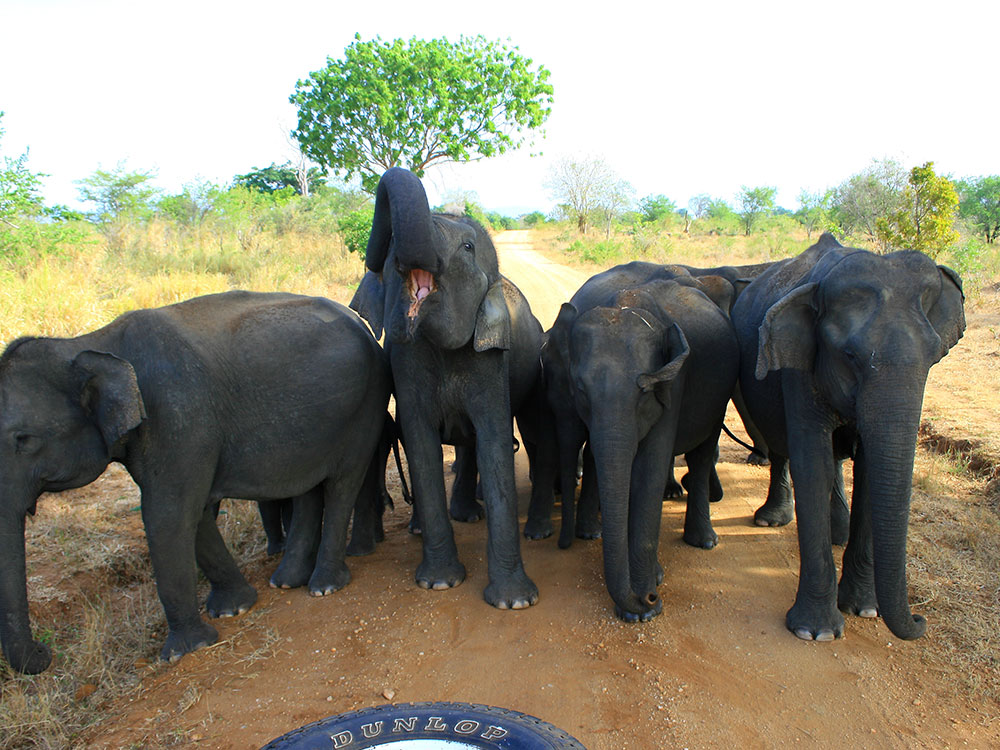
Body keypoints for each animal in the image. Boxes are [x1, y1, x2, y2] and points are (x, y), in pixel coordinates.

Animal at [0, 291, 391, 673]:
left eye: (24, 440)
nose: (45, 654)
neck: (89, 342)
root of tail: (362, 325)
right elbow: (193, 513)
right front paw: (233, 610)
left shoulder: (178, 417)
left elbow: (167, 515)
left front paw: (185, 650)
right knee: (309, 487)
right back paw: (286, 581)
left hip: (364, 406)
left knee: (342, 483)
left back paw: (323, 587)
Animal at [349, 167, 540, 610]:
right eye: (388, 250)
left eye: (467, 247)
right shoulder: (406, 361)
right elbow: (419, 444)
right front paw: (438, 584)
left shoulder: (491, 359)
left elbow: (494, 442)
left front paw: (514, 604)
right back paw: (430, 525)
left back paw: (469, 515)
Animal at [556, 277, 740, 621]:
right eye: (581, 390)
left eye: (644, 393)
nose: (651, 598)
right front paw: (644, 598)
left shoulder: (674, 385)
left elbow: (647, 473)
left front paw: (644, 611)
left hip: (720, 399)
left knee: (702, 454)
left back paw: (704, 543)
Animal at [732, 233, 965, 641]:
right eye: (850, 355)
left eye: (935, 356)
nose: (921, 619)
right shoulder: (800, 363)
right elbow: (813, 465)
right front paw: (816, 632)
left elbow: (871, 470)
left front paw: (866, 610)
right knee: (784, 446)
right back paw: (771, 520)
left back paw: (837, 533)